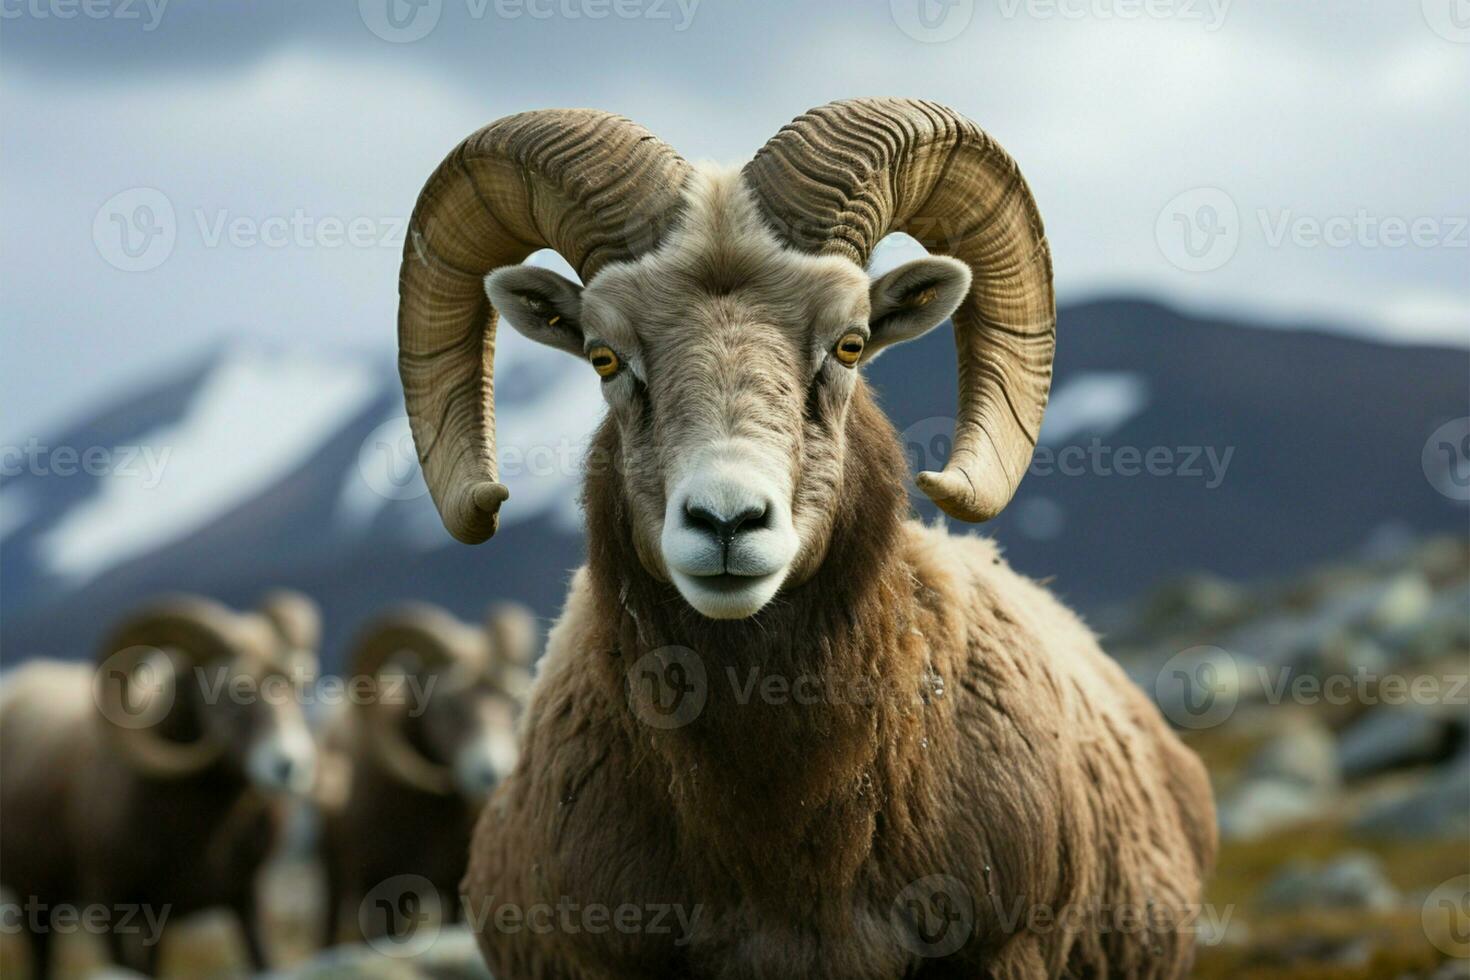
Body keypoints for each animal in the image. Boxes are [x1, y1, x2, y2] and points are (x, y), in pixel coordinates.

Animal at [0, 587, 320, 975]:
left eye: (298, 686)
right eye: (228, 693)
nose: (291, 765)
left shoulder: (245, 900)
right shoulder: (110, 904)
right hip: (34, 900)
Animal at [318, 602, 538, 946]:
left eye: (509, 702)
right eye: (447, 703)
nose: (491, 770)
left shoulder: (450, 888)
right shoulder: (377, 888)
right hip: (335, 876)